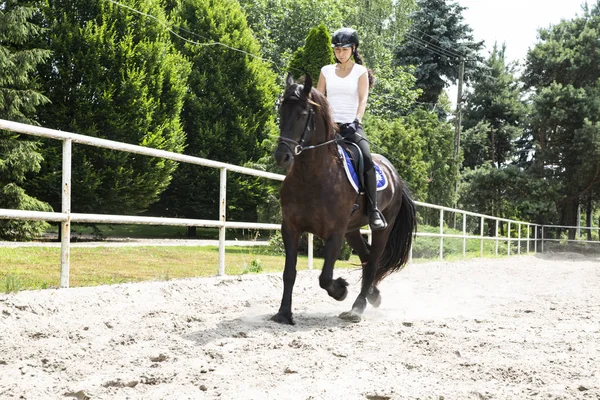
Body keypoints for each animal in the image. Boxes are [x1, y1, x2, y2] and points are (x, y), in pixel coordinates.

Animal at [274, 74, 418, 324]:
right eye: (282, 111)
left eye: (302, 114)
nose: (282, 156)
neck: (312, 177)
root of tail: (394, 174)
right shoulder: (290, 228)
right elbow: (289, 273)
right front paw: (283, 313)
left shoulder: (335, 233)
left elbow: (325, 277)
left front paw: (341, 290)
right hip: (352, 231)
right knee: (368, 258)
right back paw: (373, 295)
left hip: (381, 229)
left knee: (373, 261)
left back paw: (357, 308)